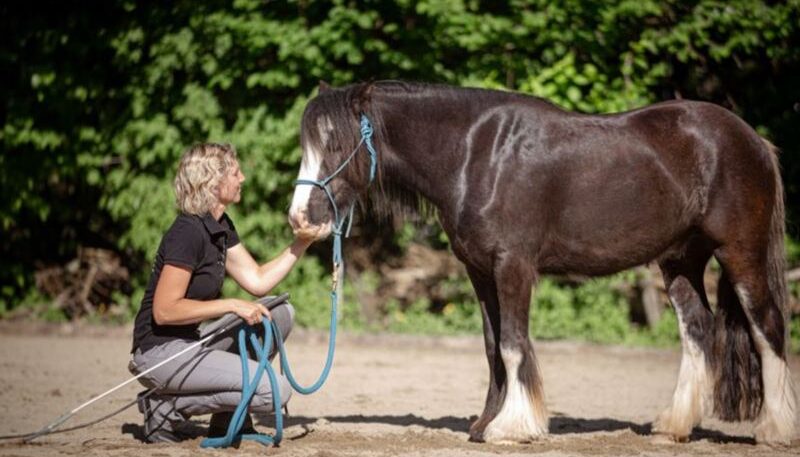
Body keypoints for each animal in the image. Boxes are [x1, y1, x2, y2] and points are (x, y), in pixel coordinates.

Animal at [287, 80, 796, 444]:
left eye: (336, 146)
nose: (299, 218)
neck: (476, 154)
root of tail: (753, 138)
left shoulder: (513, 266)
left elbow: (514, 343)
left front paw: (512, 427)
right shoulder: (480, 271)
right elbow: (492, 346)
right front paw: (483, 424)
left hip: (741, 253)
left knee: (766, 327)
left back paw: (775, 430)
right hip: (680, 261)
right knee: (697, 330)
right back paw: (673, 426)